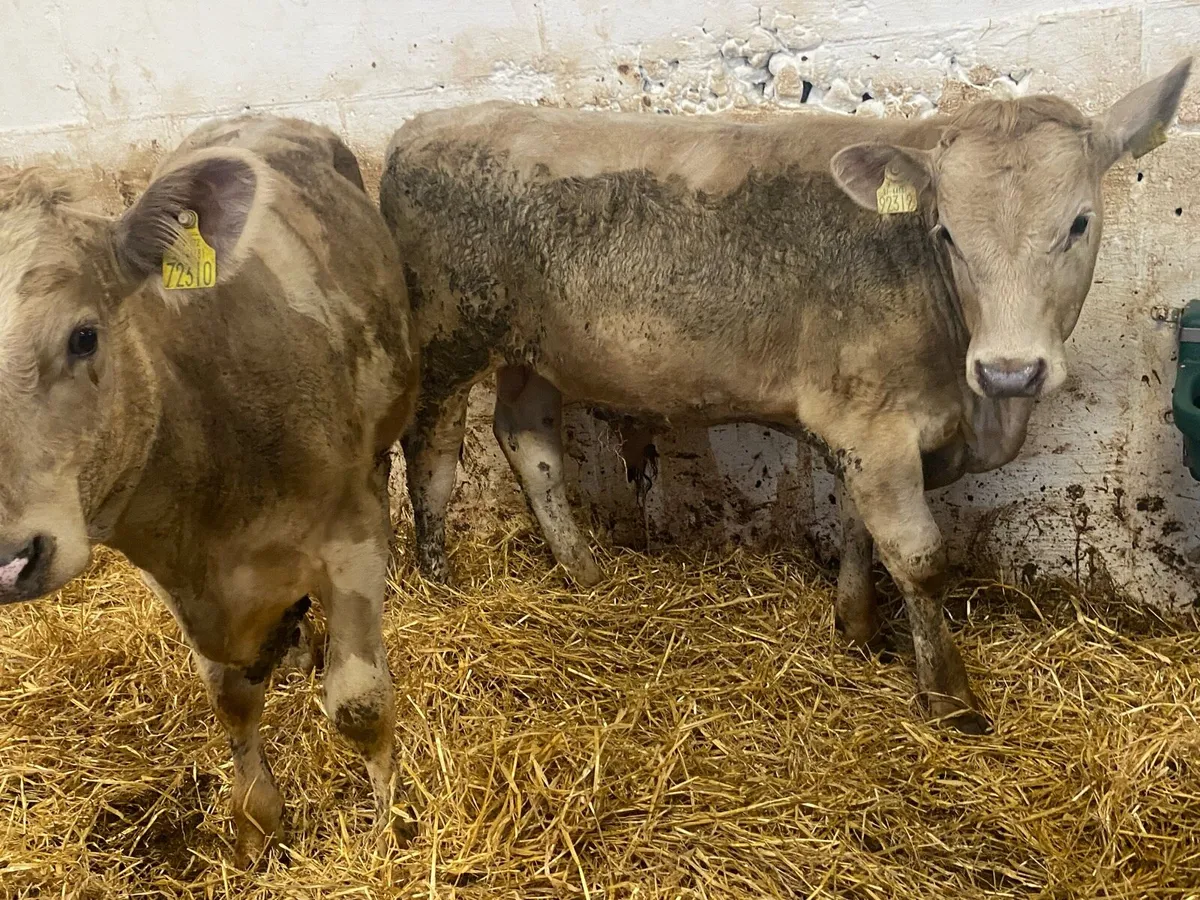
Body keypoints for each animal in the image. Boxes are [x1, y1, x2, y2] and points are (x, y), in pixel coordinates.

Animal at [0, 115, 418, 864]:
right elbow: (230, 698)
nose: (9, 560)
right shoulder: (179, 584)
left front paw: (390, 828)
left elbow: (360, 700)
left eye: (84, 336)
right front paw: (256, 824)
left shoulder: (351, 538)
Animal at [380, 60, 1190, 735]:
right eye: (946, 232)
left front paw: (857, 628)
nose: (1010, 371)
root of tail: (420, 129)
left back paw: (584, 570)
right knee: (431, 458)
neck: (976, 409)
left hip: (533, 351)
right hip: (447, 336)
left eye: (1079, 223)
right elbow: (918, 557)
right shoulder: (872, 425)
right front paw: (951, 699)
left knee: (530, 442)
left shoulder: (867, 430)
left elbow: (860, 529)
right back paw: (442, 581)